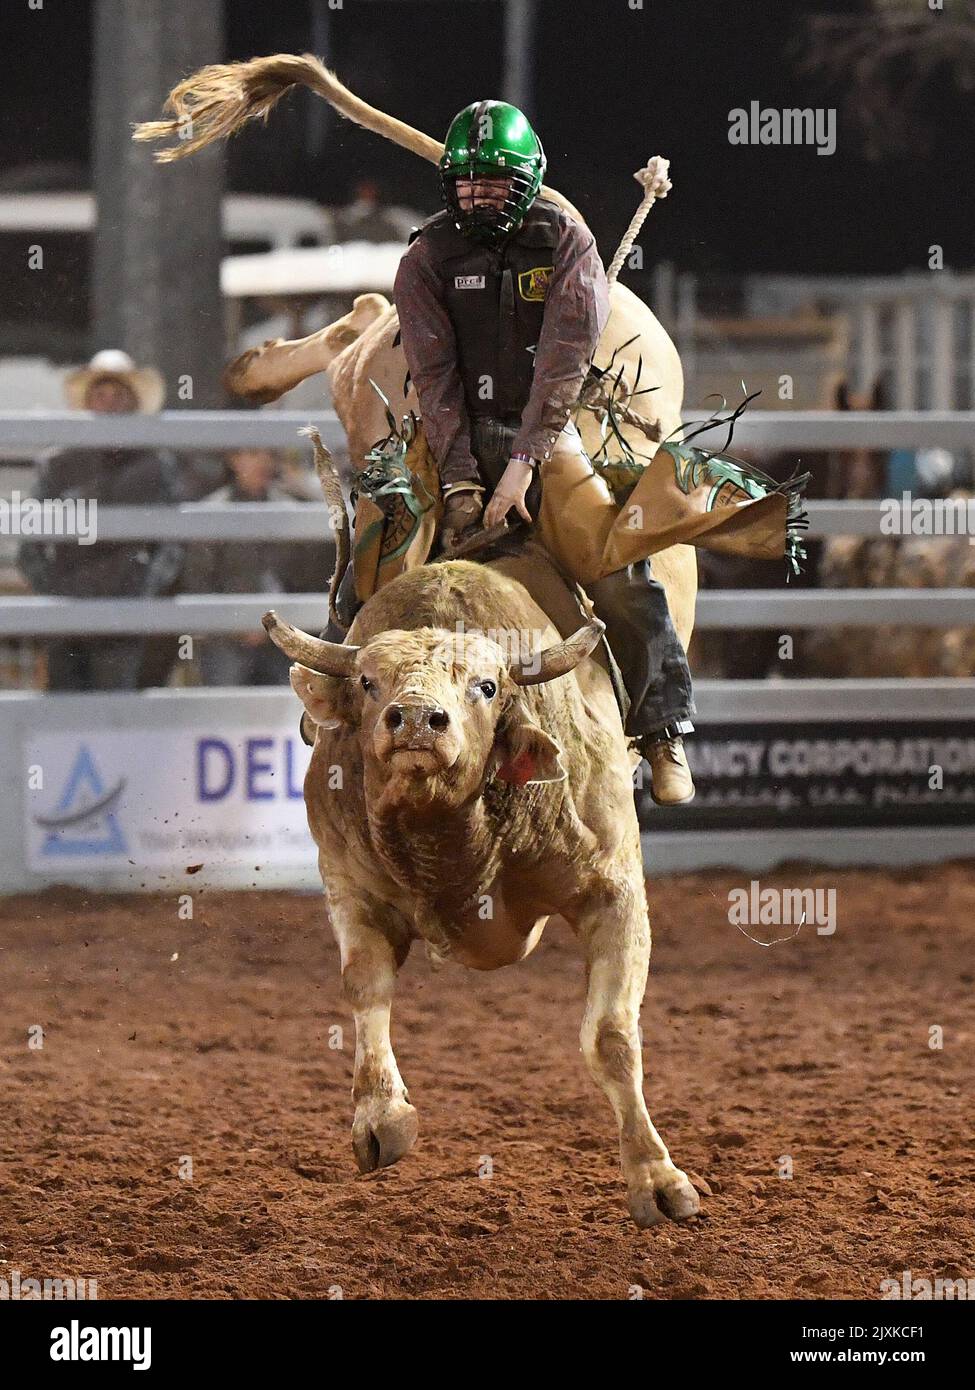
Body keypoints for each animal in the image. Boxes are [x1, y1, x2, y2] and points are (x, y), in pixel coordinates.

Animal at [264, 543, 701, 1227]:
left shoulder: (613, 890)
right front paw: (381, 1119)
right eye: (367, 682)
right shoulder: (349, 882)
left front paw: (659, 1180)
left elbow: (611, 1036)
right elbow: (365, 986)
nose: (418, 720)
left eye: (487, 686)